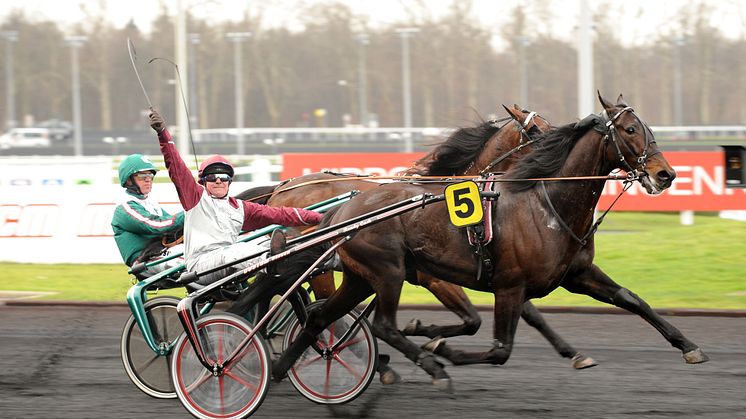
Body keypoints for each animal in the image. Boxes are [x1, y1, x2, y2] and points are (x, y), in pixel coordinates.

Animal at [235, 105, 596, 370]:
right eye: (536, 131)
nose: (567, 138)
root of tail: (281, 187)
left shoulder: (499, 267)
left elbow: (527, 311)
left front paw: (572, 352)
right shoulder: (436, 277)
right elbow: (473, 320)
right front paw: (428, 338)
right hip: (324, 268)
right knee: (309, 304)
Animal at [274, 93, 708, 392]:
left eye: (648, 128)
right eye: (630, 130)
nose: (666, 174)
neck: (546, 204)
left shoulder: (575, 273)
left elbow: (632, 300)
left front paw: (688, 345)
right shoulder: (502, 284)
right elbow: (497, 344)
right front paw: (439, 347)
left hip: (361, 277)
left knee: (319, 317)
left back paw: (283, 369)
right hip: (386, 273)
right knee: (375, 324)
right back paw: (421, 366)